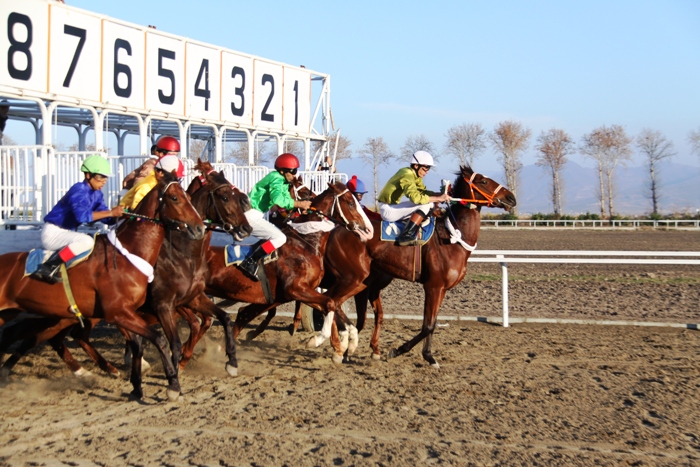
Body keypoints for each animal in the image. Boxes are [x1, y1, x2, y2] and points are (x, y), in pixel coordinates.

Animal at [322, 166, 516, 368]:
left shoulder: (442, 289)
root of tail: (336, 230)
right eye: (483, 181)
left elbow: (432, 323)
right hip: (353, 278)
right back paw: (340, 346)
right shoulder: (433, 286)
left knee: (331, 302)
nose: (511, 198)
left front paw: (428, 356)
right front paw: (398, 350)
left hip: (360, 281)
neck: (452, 239)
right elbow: (427, 326)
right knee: (330, 301)